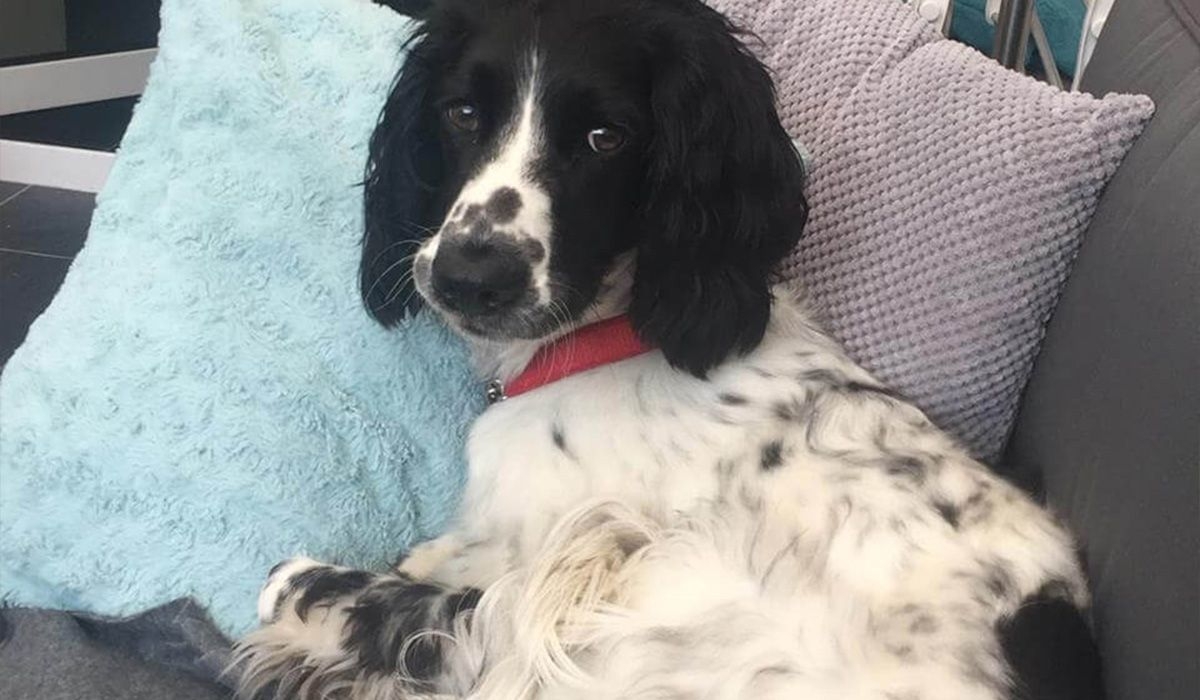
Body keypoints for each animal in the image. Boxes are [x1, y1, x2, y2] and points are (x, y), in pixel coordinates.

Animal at [234, 2, 1104, 696]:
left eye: (605, 136)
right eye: (462, 113)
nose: (470, 276)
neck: (608, 338)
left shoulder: (568, 581)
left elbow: (453, 611)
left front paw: (301, 587)